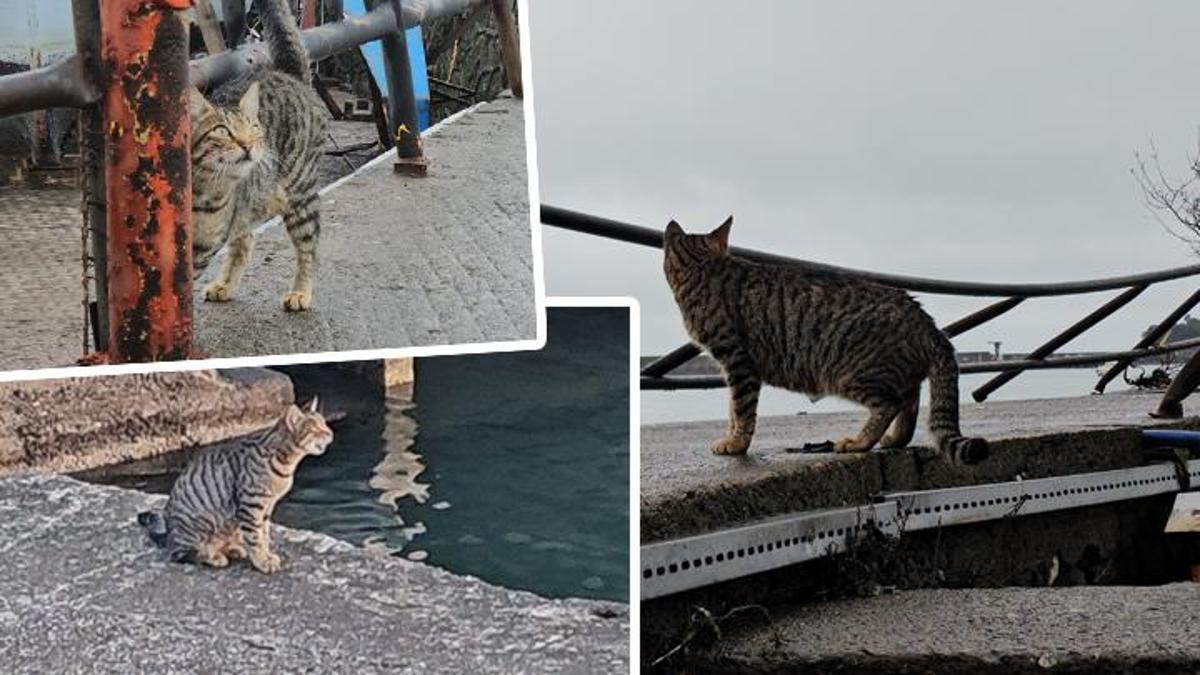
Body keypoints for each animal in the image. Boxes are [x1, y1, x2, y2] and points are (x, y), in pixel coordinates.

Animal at [137, 396, 333, 576]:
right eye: (316, 429)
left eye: (325, 424)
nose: (331, 433)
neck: (285, 462)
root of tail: (168, 534)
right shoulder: (251, 505)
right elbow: (255, 537)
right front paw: (262, 561)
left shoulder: (266, 506)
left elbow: (264, 534)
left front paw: (266, 554)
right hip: (197, 526)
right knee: (182, 554)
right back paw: (213, 556)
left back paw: (233, 549)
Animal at [192, 0, 333, 309]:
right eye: (222, 131)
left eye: (254, 128)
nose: (248, 145)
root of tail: (287, 73)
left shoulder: (201, 248)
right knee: (244, 241)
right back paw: (225, 284)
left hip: (300, 196)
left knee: (309, 247)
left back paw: (300, 292)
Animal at [662, 218, 988, 466]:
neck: (704, 268)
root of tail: (928, 324)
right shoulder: (733, 368)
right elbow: (732, 409)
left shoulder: (737, 362)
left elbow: (741, 409)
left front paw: (736, 443)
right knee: (910, 403)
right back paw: (895, 438)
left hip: (851, 373)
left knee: (889, 405)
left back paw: (859, 442)